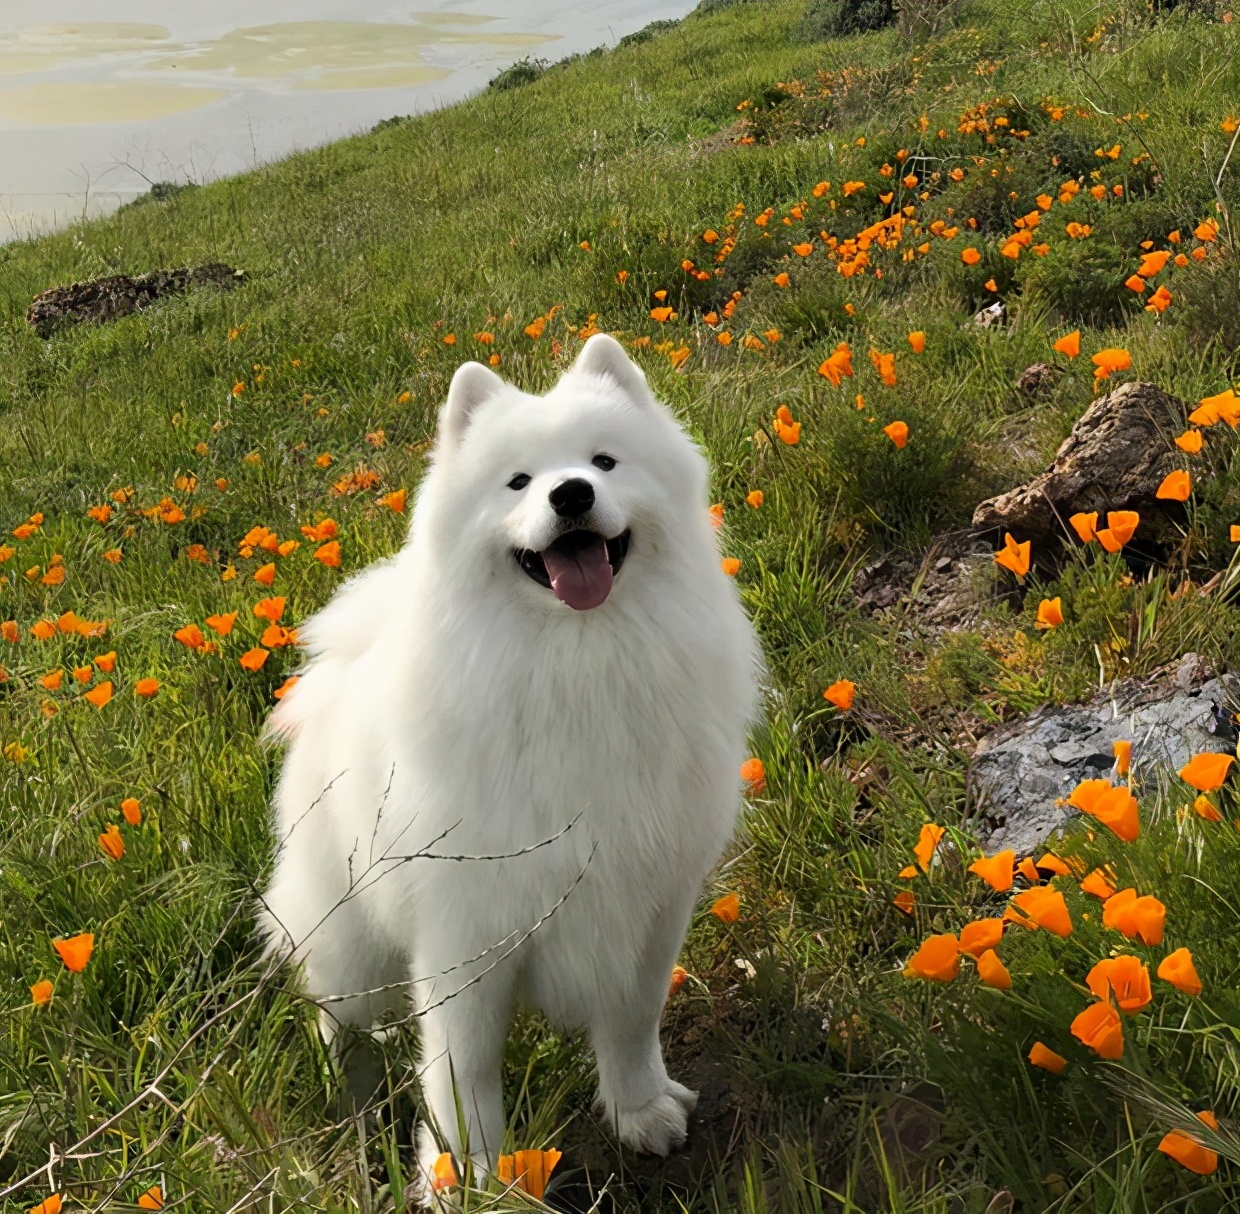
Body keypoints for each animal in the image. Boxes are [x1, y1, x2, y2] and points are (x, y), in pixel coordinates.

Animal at [260, 337, 758, 1190]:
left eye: (604, 461)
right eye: (519, 482)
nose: (571, 492)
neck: (578, 665)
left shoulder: (649, 906)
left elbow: (633, 1022)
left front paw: (640, 1112)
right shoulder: (466, 934)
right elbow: (461, 1071)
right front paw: (468, 1178)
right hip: (347, 933)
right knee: (335, 1015)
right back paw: (349, 1099)